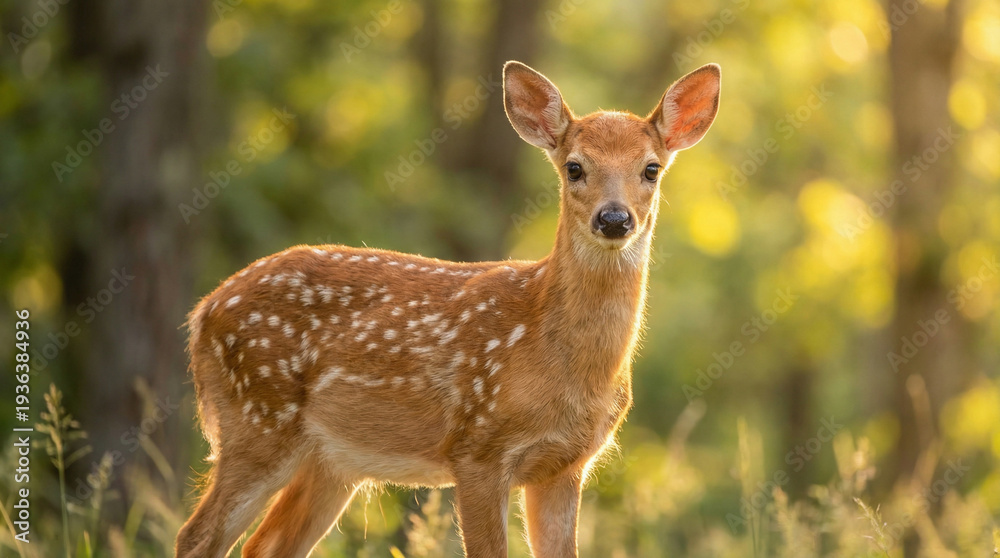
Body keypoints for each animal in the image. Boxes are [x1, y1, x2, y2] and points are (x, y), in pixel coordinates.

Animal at [175, 60, 720, 558]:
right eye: (574, 167)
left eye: (651, 169)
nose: (613, 218)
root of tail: (202, 311)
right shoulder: (476, 449)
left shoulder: (566, 465)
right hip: (257, 418)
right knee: (196, 535)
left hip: (332, 460)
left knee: (262, 546)